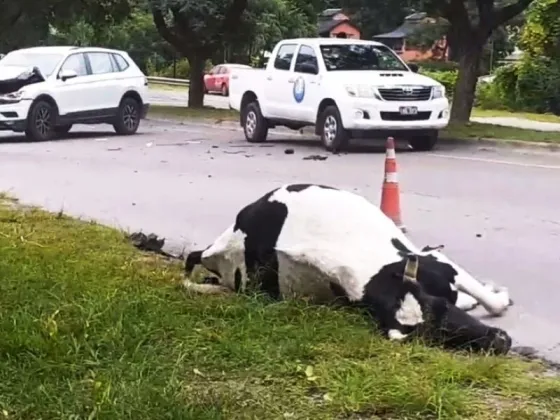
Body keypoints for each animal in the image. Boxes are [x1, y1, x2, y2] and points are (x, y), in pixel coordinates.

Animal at [182, 184, 516, 354]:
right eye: (434, 337)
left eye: (441, 309)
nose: (501, 341)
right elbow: (489, 301)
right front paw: (496, 300)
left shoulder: (437, 265)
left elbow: (479, 295)